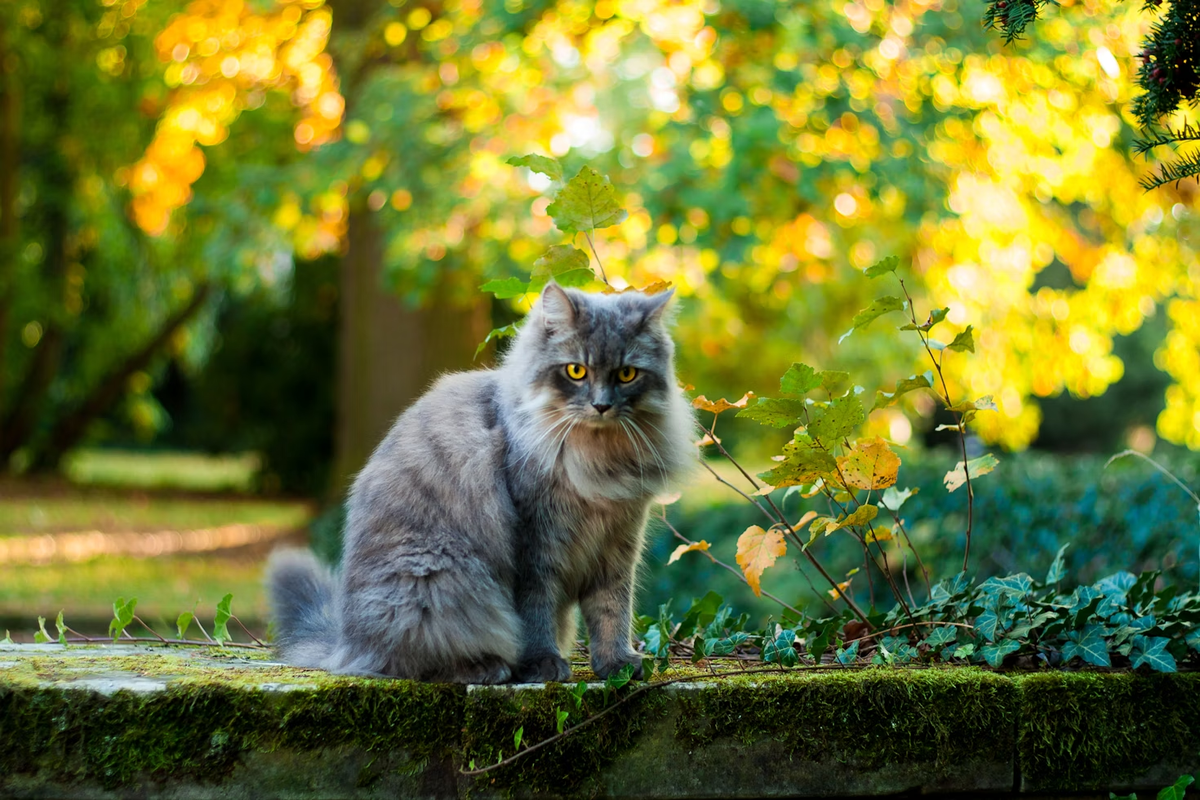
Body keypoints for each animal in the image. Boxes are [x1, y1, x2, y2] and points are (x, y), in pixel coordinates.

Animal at [262, 281, 696, 681]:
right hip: (440, 580)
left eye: (626, 374)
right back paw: (486, 668)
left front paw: (616, 665)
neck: (597, 459)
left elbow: (611, 609)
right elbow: (535, 610)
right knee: (412, 662)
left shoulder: (617, 543)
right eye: (576, 371)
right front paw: (542, 664)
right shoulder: (536, 543)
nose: (601, 405)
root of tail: (346, 643)